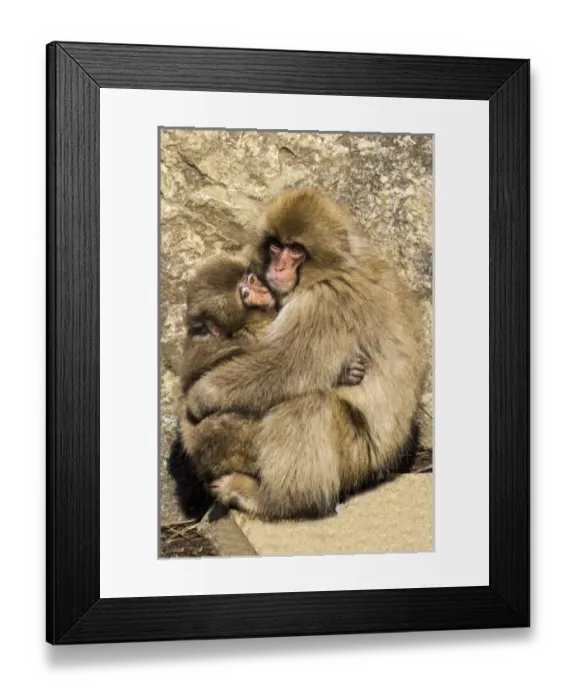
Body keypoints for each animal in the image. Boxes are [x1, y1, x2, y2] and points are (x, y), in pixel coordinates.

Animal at [183, 187, 427, 521]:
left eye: (296, 250)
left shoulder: (325, 302)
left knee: (306, 405)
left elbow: (287, 367)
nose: (277, 268)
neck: (334, 268)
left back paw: (276, 501)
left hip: (358, 458)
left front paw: (201, 394)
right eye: (276, 246)